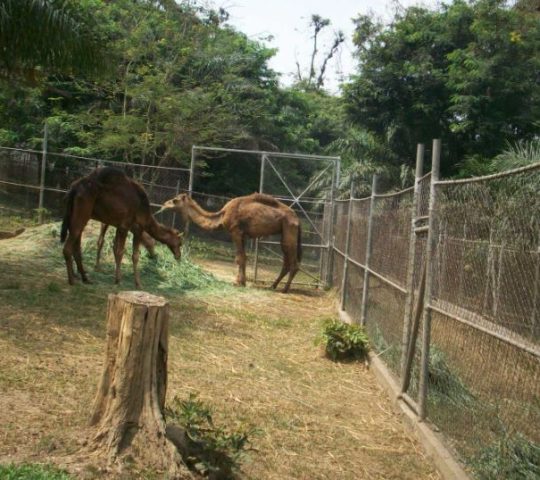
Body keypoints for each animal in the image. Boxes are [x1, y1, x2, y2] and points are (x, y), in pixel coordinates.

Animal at [158, 192, 302, 292]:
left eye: (174, 200)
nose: (163, 204)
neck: (222, 216)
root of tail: (297, 219)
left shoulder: (235, 231)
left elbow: (239, 258)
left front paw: (238, 282)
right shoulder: (243, 234)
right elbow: (244, 257)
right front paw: (242, 282)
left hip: (289, 229)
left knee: (293, 263)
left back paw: (284, 289)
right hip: (285, 232)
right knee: (286, 262)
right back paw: (273, 285)